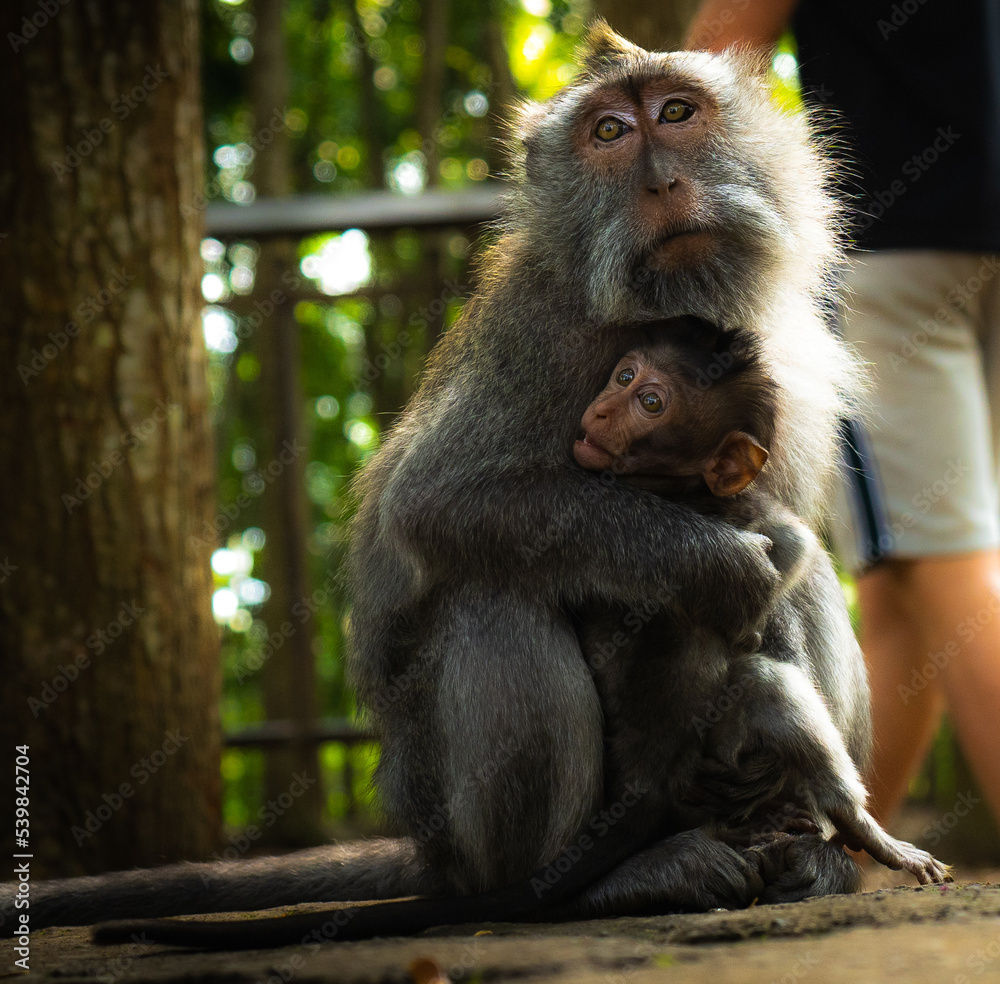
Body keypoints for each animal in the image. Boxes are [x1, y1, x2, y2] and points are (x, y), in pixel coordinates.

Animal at [2, 23, 890, 948]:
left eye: (677, 114)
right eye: (610, 133)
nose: (660, 181)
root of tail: (437, 858)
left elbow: (781, 534)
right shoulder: (539, 336)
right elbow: (438, 502)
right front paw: (710, 565)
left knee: (804, 580)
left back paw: (804, 846)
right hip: (459, 820)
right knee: (494, 594)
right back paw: (585, 884)